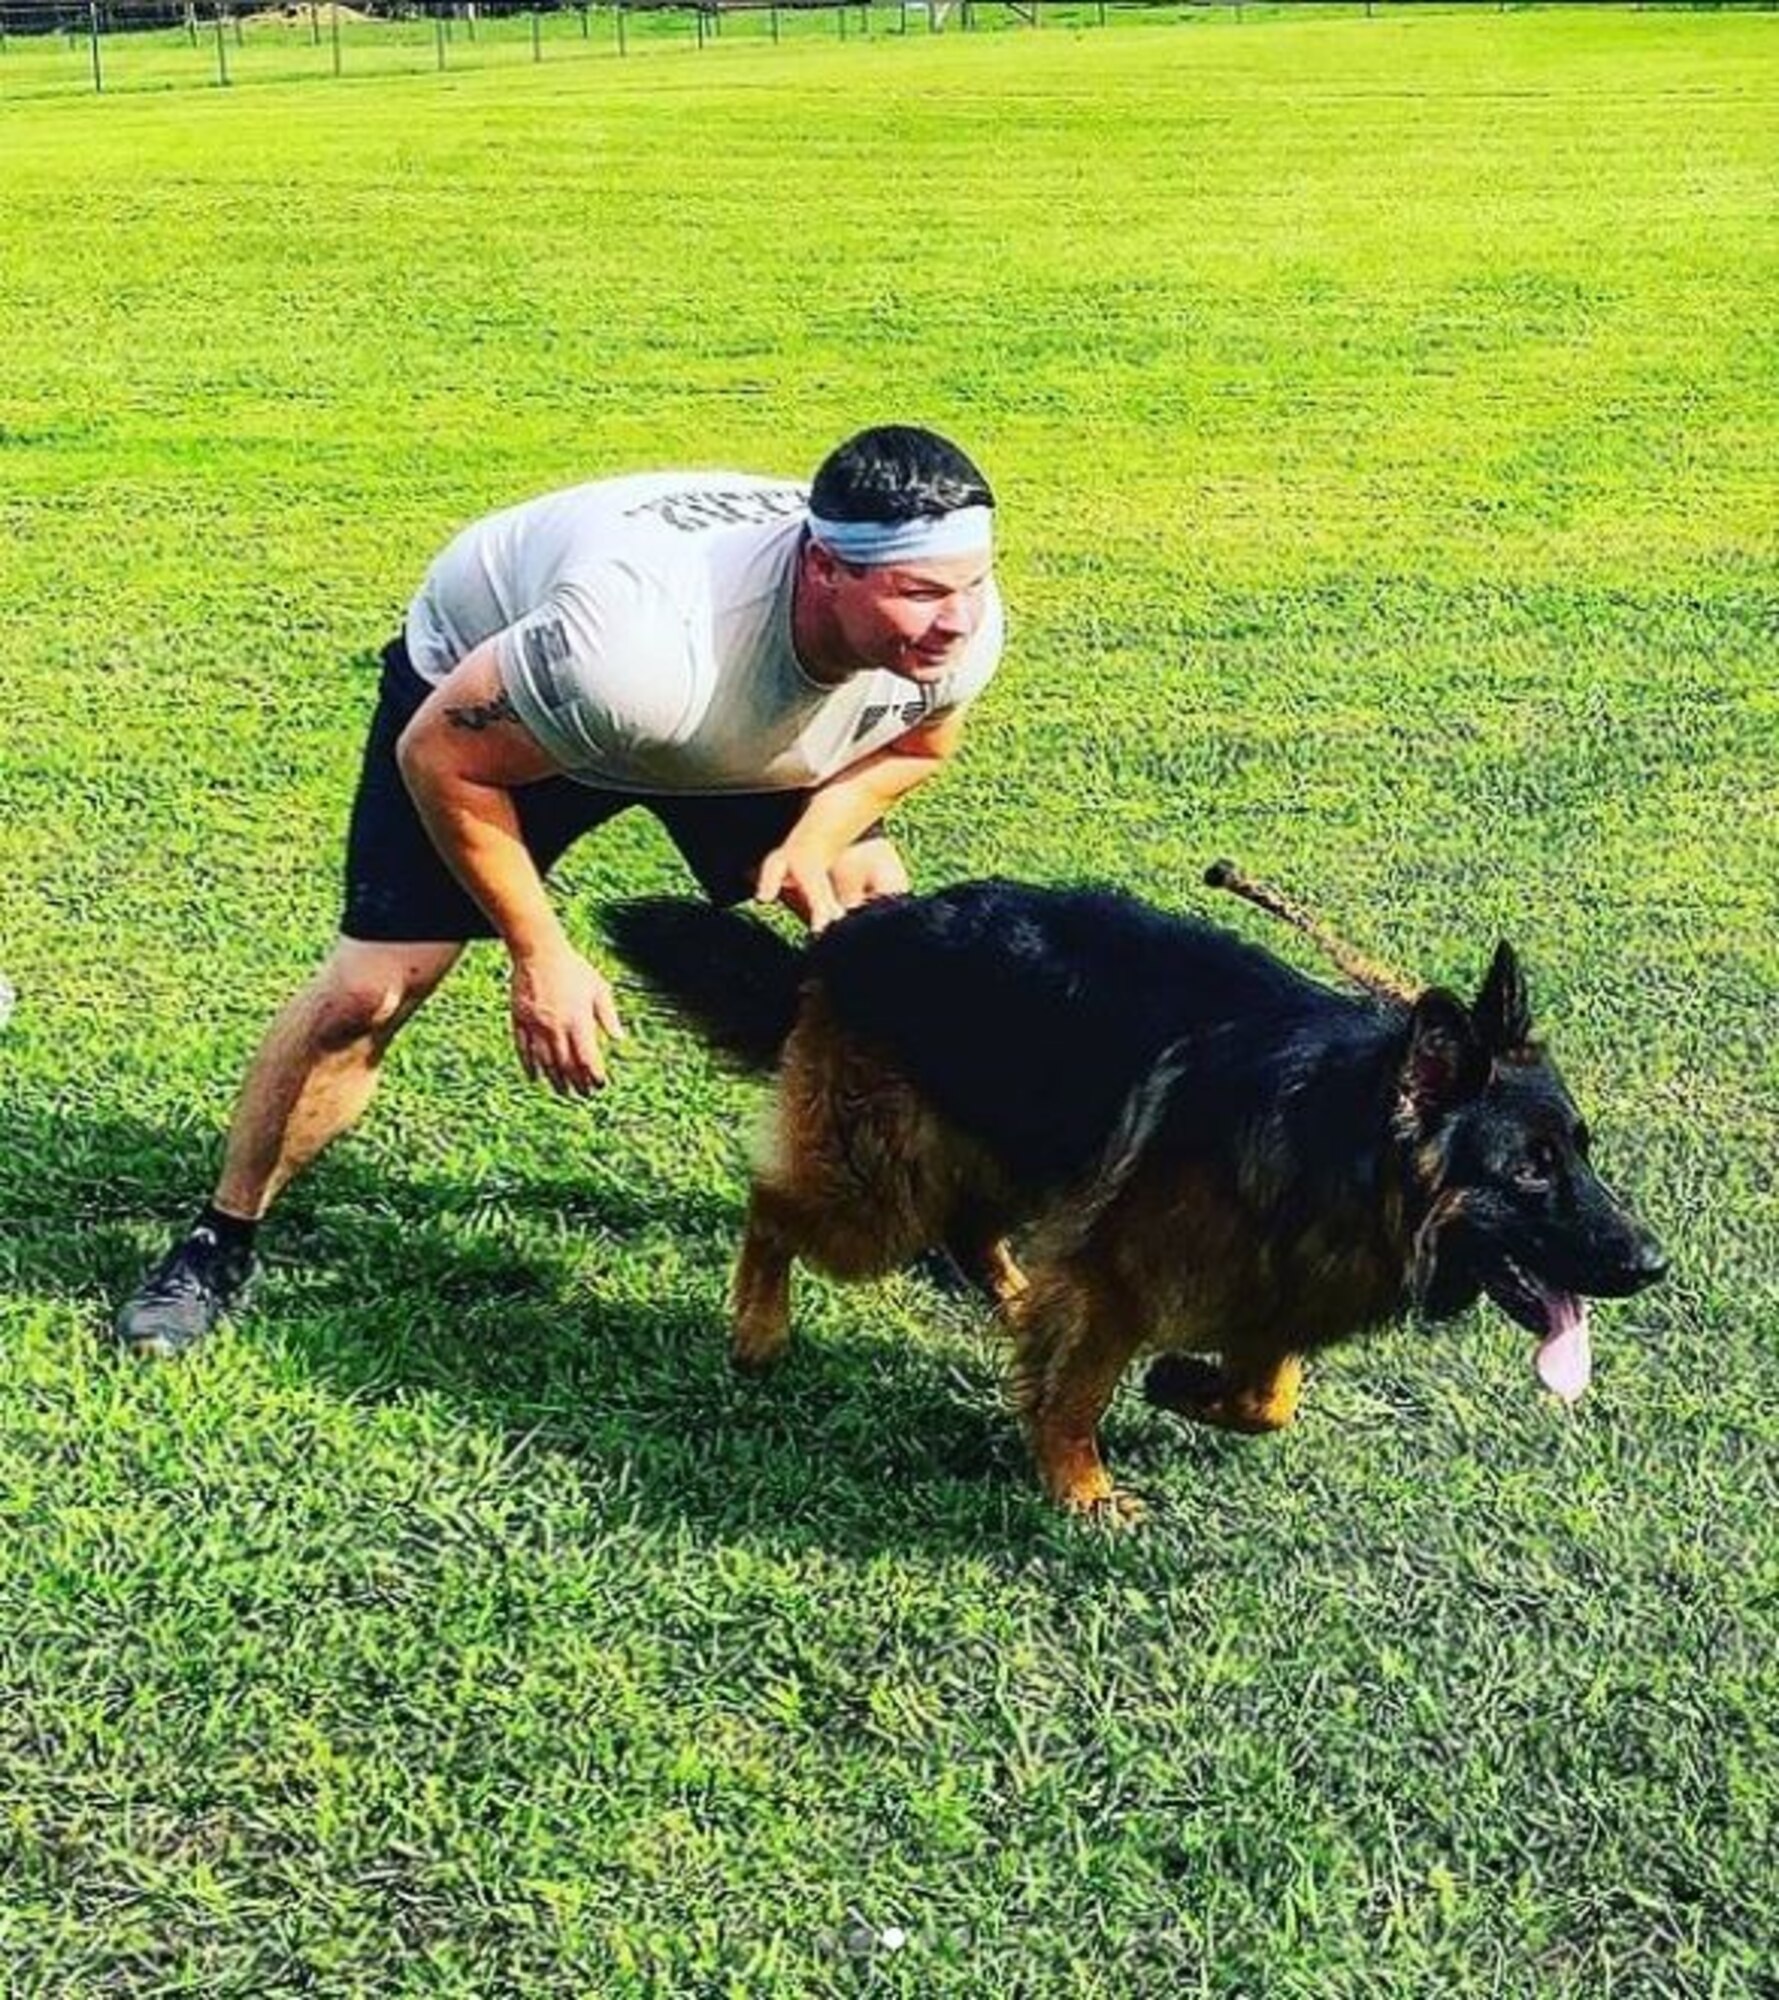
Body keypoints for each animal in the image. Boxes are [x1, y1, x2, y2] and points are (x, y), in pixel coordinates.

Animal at [607, 872, 1663, 1512]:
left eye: (1581, 1153)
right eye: (1528, 1169)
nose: (1651, 1263)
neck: (1343, 1139)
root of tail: (847, 935)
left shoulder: (1269, 1281)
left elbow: (1267, 1397)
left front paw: (1183, 1385)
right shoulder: (1119, 1275)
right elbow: (1078, 1394)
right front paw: (1078, 1487)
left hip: (1004, 1157)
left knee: (975, 1237)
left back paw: (1016, 1302)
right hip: (881, 1195)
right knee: (774, 1206)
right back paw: (758, 1328)